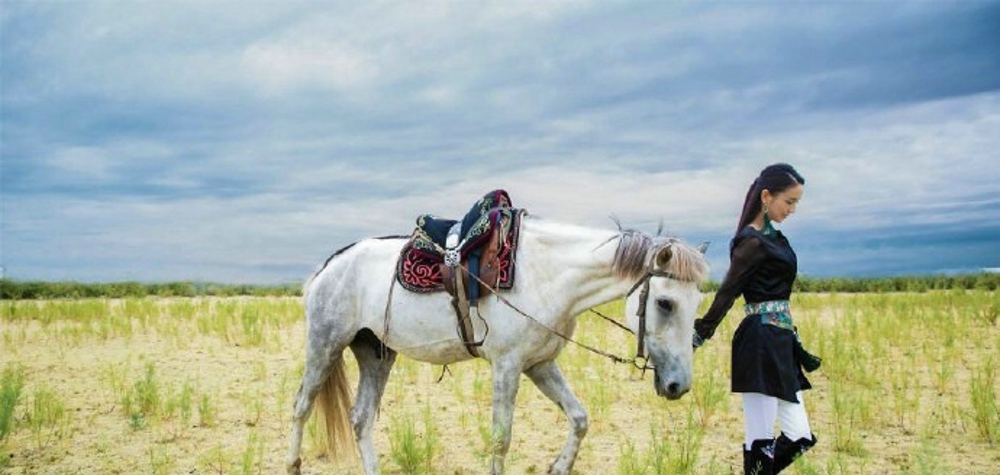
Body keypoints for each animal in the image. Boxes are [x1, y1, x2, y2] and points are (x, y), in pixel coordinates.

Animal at [286, 216, 708, 475]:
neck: (547, 274)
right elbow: (501, 439)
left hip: (375, 353)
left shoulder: (539, 364)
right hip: (325, 344)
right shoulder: (507, 365)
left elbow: (579, 418)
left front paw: (558, 466)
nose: (679, 386)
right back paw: (293, 464)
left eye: (696, 303)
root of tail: (329, 266)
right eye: (665, 303)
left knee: (360, 418)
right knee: (302, 406)